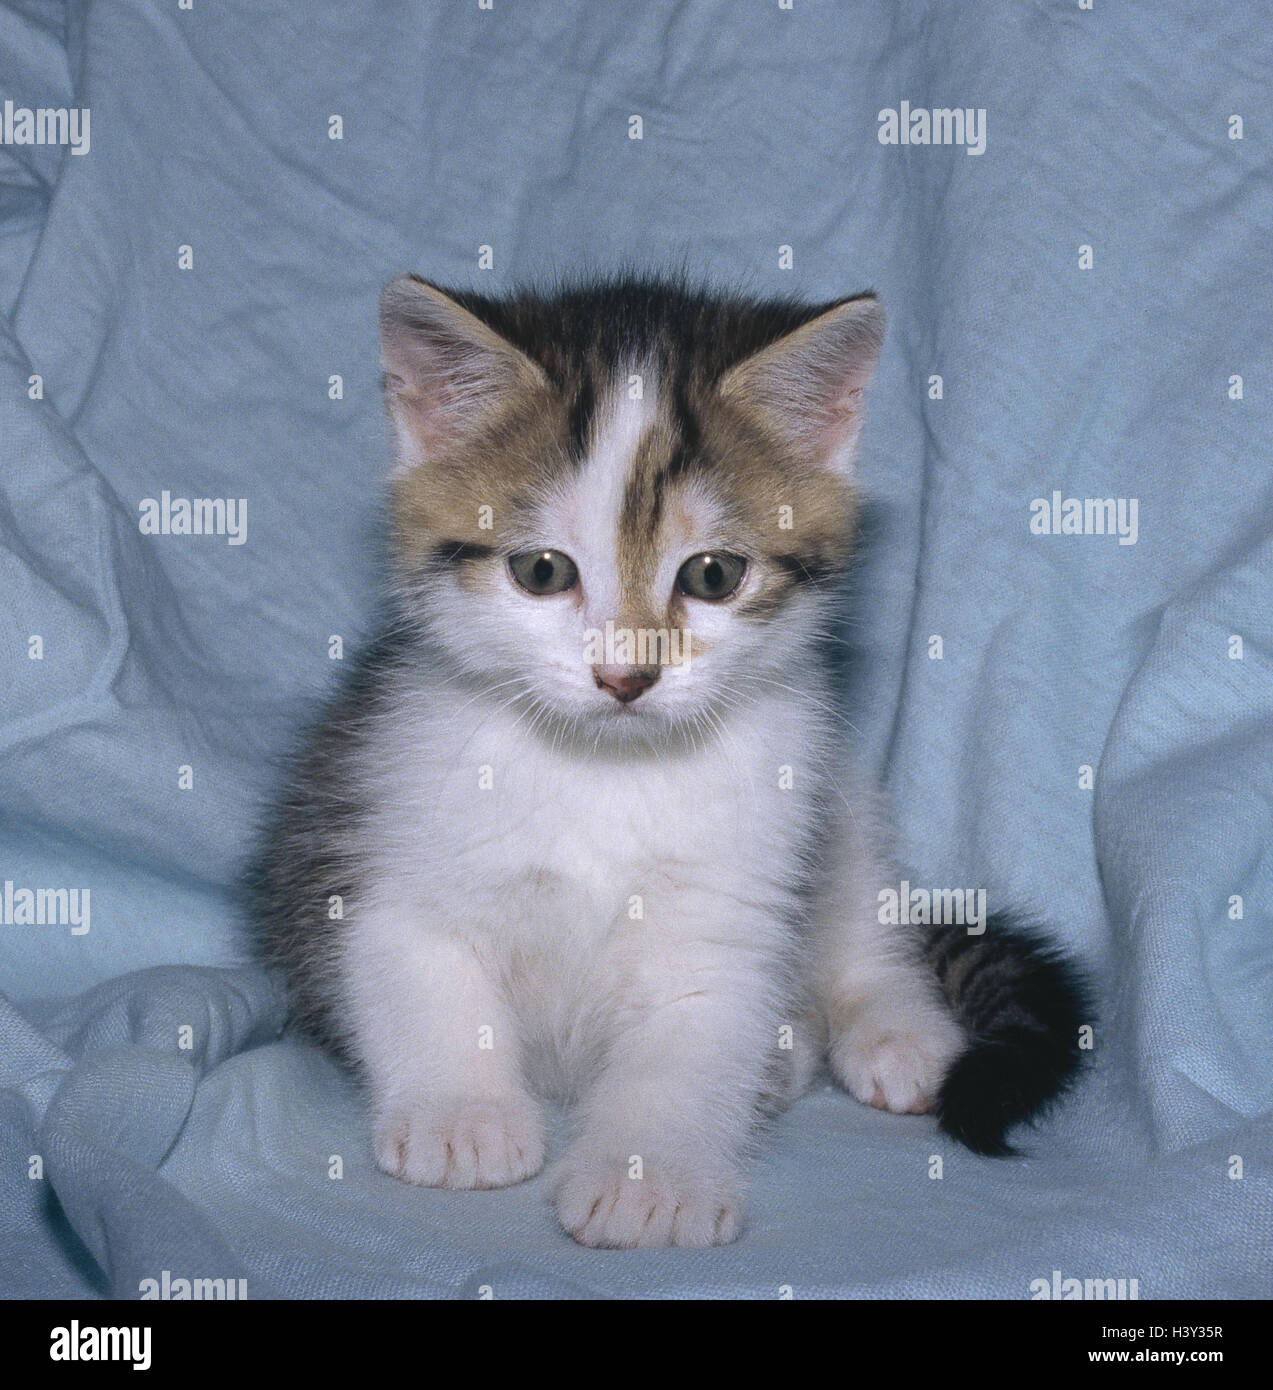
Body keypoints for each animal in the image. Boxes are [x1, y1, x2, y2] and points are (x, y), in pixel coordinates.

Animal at [252, 271, 1089, 1251]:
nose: (626, 674)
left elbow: (694, 1033)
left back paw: (889, 1027)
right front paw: (461, 1114)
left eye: (713, 575)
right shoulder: (374, 815)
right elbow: (415, 968)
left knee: (861, 914)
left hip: (834, 799)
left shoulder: (738, 885)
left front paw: (649, 1175)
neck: (605, 772)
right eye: (542, 571)